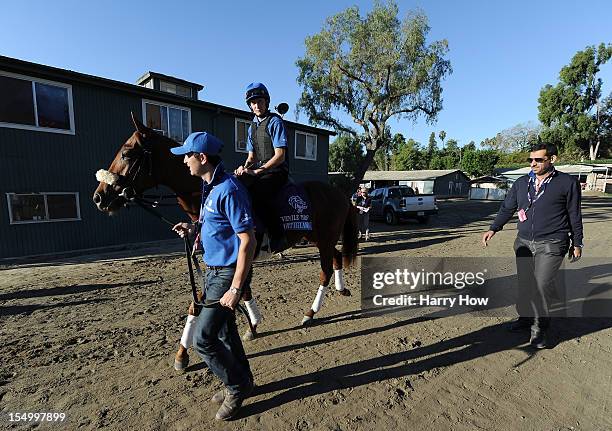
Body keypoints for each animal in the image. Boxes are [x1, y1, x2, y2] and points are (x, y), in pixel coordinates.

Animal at [92, 115, 358, 372]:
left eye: (127, 154)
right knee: (336, 257)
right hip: (317, 238)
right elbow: (224, 295)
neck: (210, 189)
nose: (99, 196)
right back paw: (341, 289)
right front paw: (250, 325)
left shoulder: (243, 253)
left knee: (325, 270)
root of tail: (340, 193)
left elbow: (214, 296)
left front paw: (187, 350)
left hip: (324, 239)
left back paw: (310, 313)